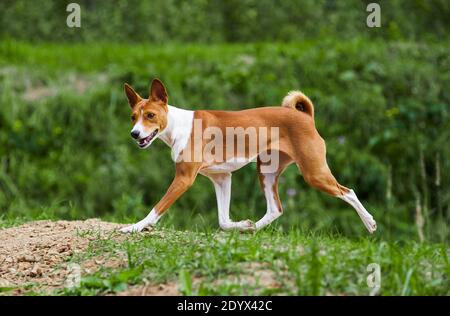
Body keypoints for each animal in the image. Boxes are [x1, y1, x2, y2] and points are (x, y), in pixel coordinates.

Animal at [119, 78, 376, 233]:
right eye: (133, 117)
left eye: (150, 115)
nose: (134, 134)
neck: (178, 126)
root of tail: (306, 117)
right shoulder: (221, 178)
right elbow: (223, 221)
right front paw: (241, 224)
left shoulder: (184, 178)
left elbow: (156, 209)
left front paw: (135, 227)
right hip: (267, 172)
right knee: (275, 209)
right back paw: (251, 228)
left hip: (315, 174)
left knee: (348, 192)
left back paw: (370, 222)